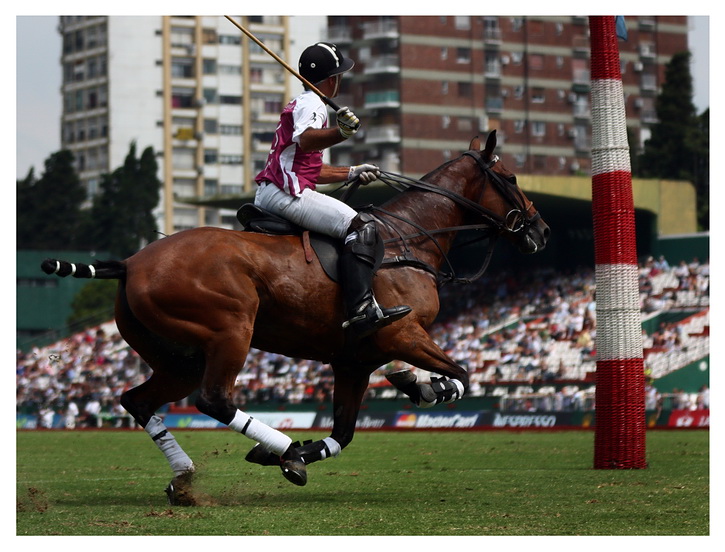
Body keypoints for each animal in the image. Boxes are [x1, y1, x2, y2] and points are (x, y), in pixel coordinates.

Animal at [41, 130, 549, 505]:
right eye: (511, 175)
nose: (541, 231)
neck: (409, 239)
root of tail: (131, 262)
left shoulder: (353, 362)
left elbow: (343, 432)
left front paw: (413, 386)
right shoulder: (402, 331)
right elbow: (462, 375)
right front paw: (430, 387)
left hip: (178, 357)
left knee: (138, 400)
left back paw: (187, 477)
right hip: (231, 330)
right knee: (213, 400)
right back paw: (283, 449)